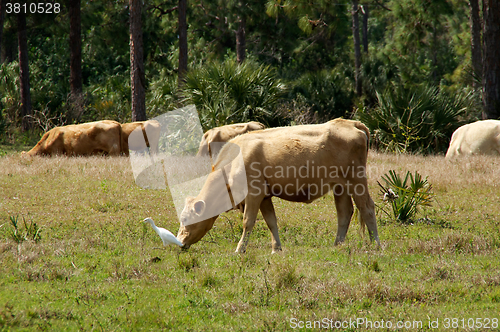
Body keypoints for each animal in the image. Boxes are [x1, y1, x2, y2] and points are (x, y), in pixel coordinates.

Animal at [176, 119, 378, 254]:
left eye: (185, 218)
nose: (178, 242)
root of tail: (351, 123)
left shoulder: (253, 194)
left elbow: (248, 221)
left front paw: (240, 249)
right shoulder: (265, 197)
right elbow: (271, 221)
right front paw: (276, 249)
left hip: (357, 180)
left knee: (367, 207)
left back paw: (376, 244)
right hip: (339, 186)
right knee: (344, 212)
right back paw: (337, 245)